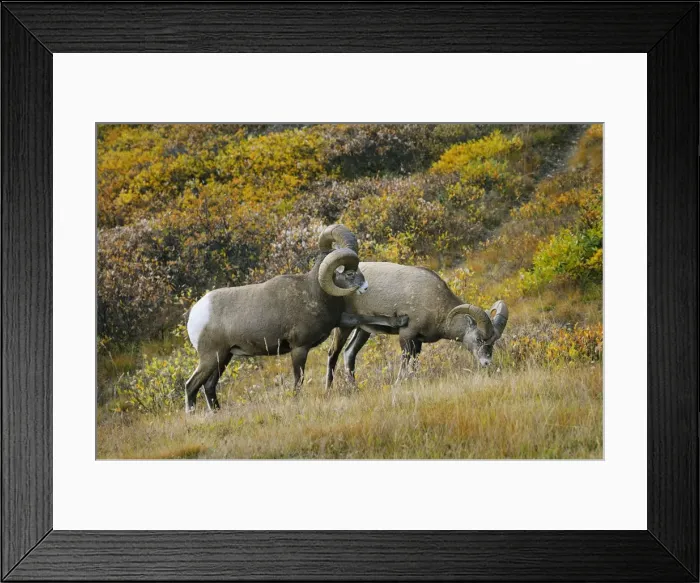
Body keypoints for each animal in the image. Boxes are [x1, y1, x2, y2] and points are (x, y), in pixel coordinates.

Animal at [184, 226, 408, 412]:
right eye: (350, 273)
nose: (365, 287)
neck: (313, 294)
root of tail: (195, 315)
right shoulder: (299, 349)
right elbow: (298, 380)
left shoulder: (341, 321)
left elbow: (369, 318)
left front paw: (401, 320)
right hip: (211, 357)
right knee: (191, 385)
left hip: (223, 358)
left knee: (209, 386)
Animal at [325, 261, 509, 388]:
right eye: (478, 339)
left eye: (493, 341)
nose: (486, 363)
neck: (435, 302)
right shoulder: (407, 336)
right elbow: (405, 364)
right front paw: (398, 384)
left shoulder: (417, 341)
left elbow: (414, 365)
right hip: (345, 327)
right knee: (333, 353)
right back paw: (329, 389)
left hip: (363, 331)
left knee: (349, 353)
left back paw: (354, 388)